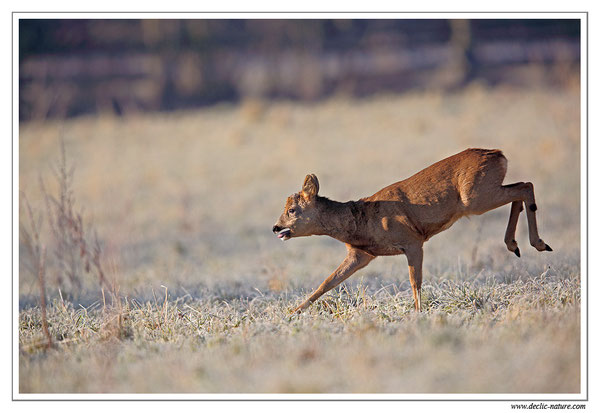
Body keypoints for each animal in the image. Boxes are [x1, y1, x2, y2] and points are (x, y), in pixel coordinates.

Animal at [274, 148, 552, 312]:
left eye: (292, 210)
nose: (276, 227)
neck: (360, 222)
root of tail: (498, 154)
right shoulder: (361, 254)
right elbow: (327, 282)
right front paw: (294, 312)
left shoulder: (412, 240)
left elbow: (414, 280)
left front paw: (418, 314)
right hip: (482, 194)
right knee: (521, 187)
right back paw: (515, 244)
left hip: (475, 198)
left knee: (525, 186)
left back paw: (537, 243)